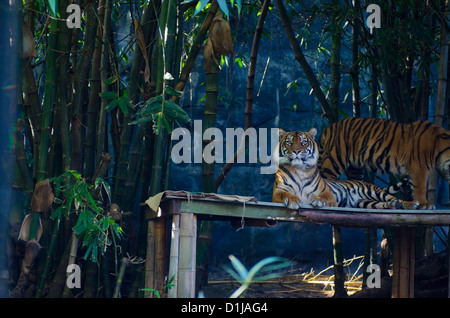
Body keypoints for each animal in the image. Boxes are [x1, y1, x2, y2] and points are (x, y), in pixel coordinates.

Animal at [270, 128, 418, 210]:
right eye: (289, 142)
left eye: (303, 142)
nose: (296, 151)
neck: (299, 169)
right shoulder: (278, 191)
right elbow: (287, 194)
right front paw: (294, 200)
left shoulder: (327, 193)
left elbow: (323, 196)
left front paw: (317, 201)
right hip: (366, 203)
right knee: (383, 203)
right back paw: (393, 206)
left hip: (373, 191)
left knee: (393, 198)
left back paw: (410, 204)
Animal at [320, 118, 450, 210]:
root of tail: (329, 128)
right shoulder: (419, 168)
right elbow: (420, 188)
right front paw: (424, 204)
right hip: (334, 159)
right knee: (326, 179)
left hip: (355, 168)